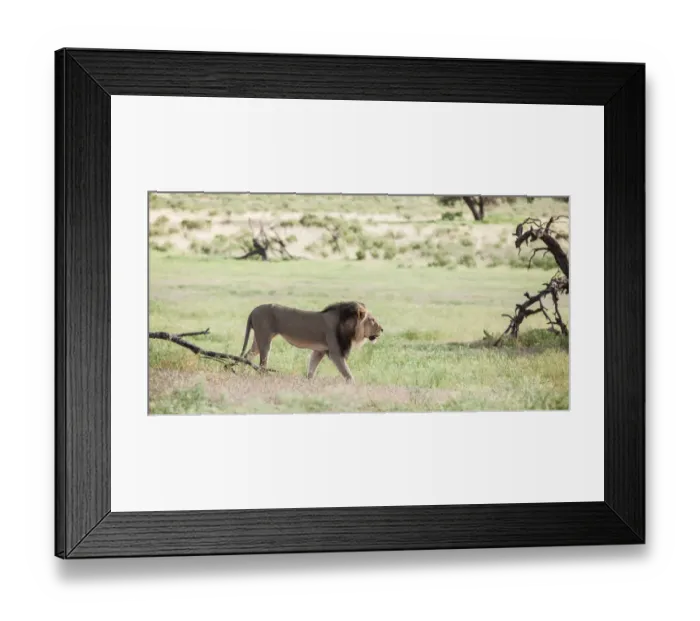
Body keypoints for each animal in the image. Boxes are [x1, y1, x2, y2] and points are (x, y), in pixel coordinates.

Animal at [239, 301, 383, 383]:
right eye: (372, 320)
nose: (382, 329)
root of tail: (253, 311)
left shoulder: (319, 351)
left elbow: (311, 368)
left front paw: (308, 382)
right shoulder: (335, 353)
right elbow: (348, 374)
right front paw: (354, 385)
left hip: (258, 340)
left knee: (247, 356)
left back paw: (242, 373)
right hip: (265, 340)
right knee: (262, 363)